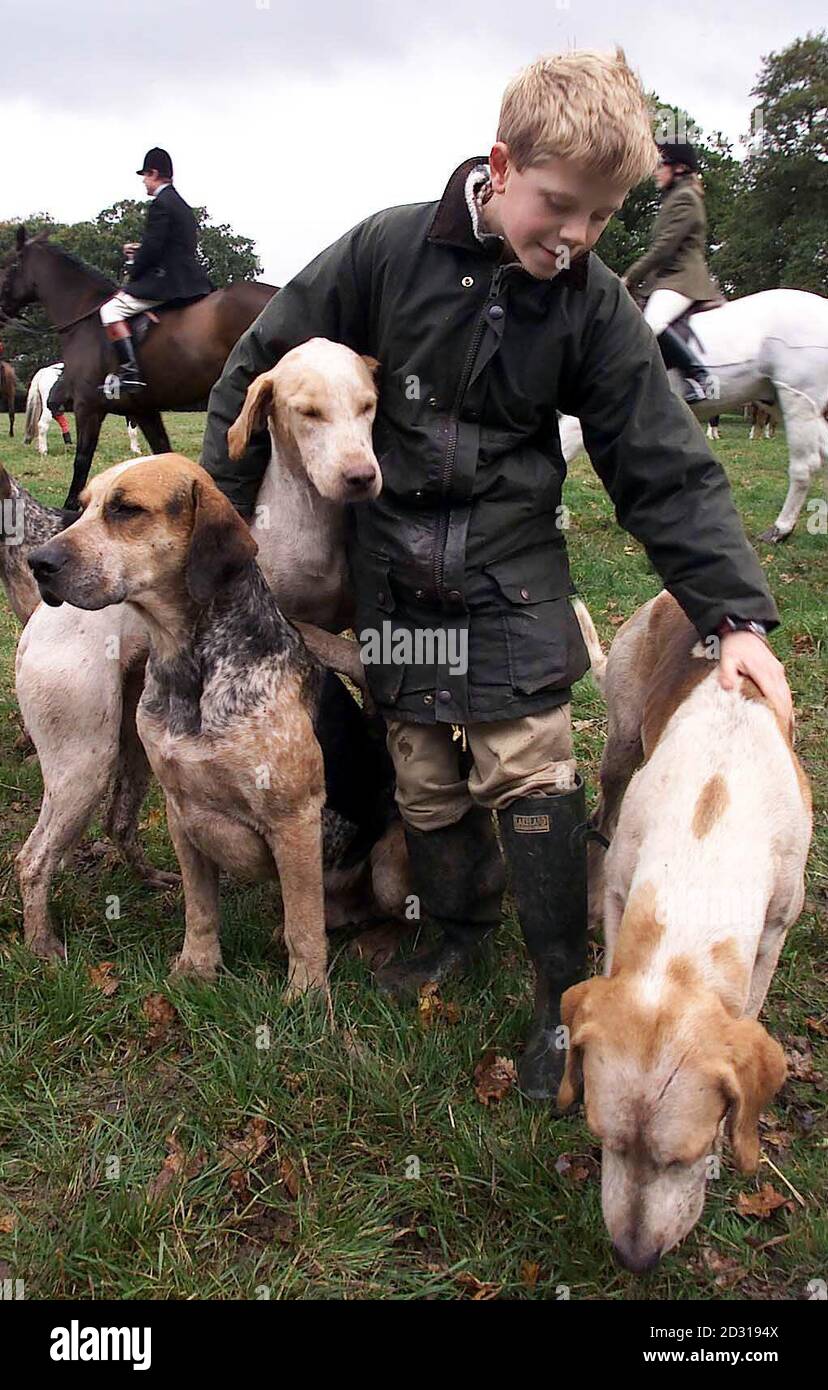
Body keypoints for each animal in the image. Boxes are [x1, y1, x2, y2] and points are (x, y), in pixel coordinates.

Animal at [0, 227, 277, 511]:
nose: (1, 312)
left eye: (9, 265)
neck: (85, 320)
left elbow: (82, 460)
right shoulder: (143, 410)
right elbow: (163, 453)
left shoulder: (88, 407)